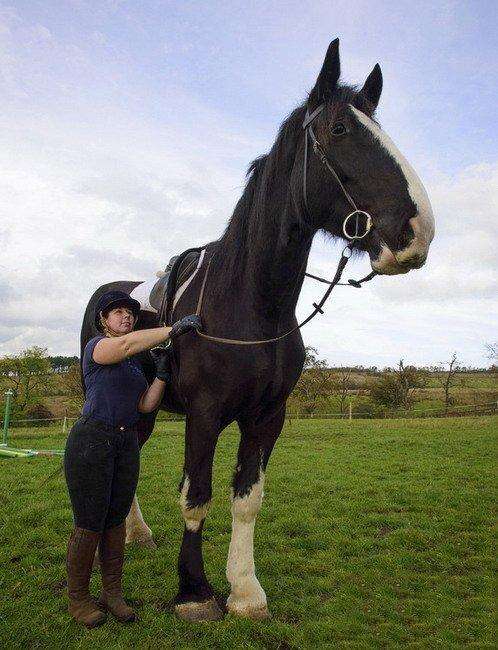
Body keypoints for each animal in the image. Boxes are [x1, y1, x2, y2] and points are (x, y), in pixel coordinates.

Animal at [80, 39, 434, 616]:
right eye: (340, 128)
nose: (418, 228)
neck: (250, 305)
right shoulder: (204, 415)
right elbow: (196, 496)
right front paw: (194, 591)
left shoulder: (268, 417)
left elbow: (247, 499)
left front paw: (244, 591)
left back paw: (136, 534)